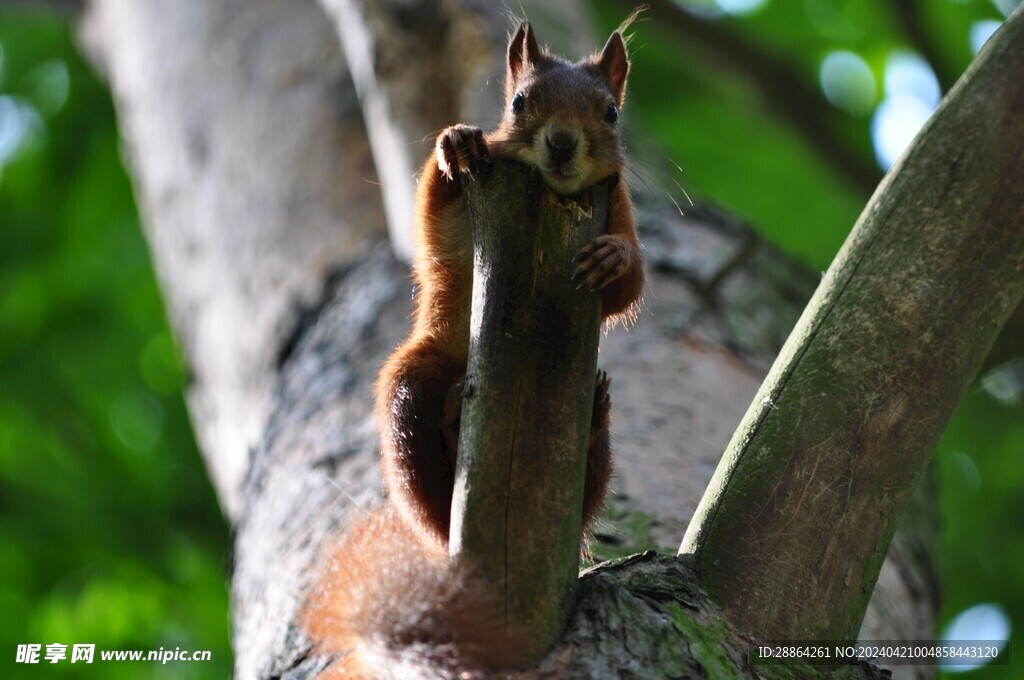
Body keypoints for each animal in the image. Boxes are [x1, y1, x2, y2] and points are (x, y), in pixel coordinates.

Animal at [299, 18, 643, 675]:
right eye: (519, 102)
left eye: (612, 113)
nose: (562, 144)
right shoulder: (465, 214)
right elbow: (435, 214)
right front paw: (457, 142)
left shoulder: (616, 201)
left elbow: (629, 285)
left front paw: (616, 259)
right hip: (412, 385)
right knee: (426, 483)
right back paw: (452, 423)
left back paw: (595, 415)